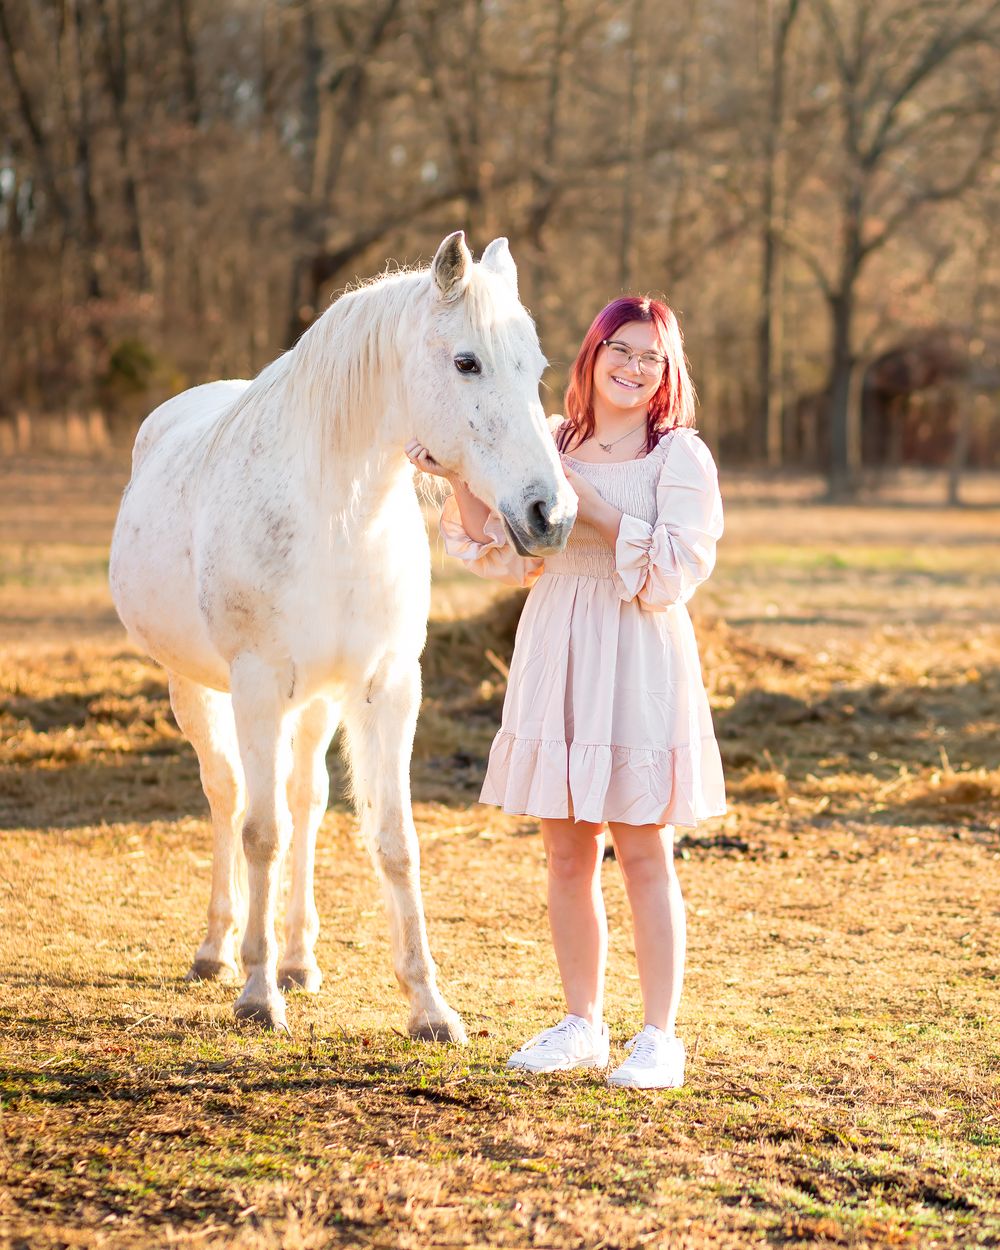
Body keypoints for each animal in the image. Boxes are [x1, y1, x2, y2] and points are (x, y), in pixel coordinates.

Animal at [109, 232, 576, 1038]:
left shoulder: (386, 686)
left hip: (319, 700)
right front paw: (256, 995)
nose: (550, 514)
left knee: (307, 799)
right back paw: (218, 951)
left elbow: (393, 841)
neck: (334, 515)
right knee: (229, 796)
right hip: (196, 686)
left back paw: (298, 960)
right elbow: (259, 831)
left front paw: (429, 1007)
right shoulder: (257, 685)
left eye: (536, 368)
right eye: (467, 362)